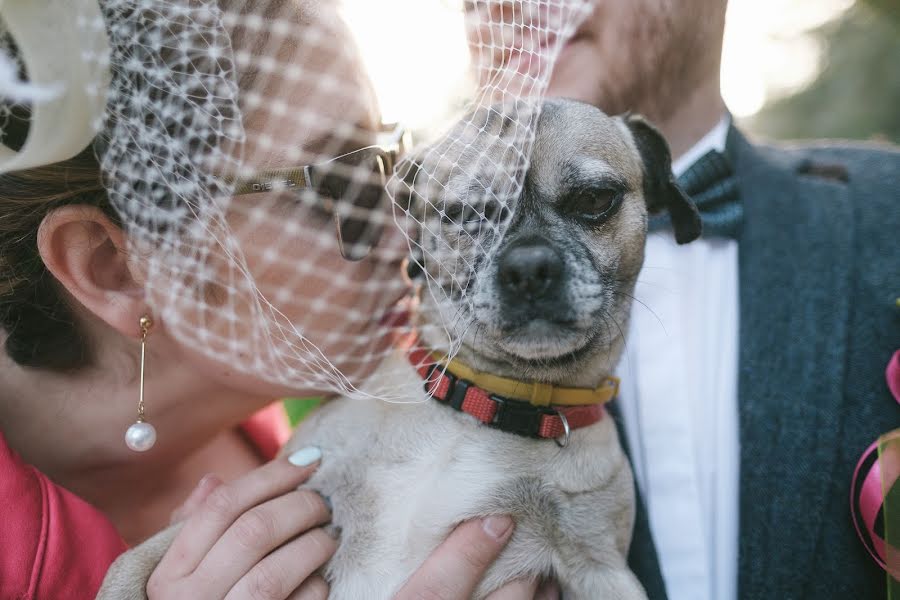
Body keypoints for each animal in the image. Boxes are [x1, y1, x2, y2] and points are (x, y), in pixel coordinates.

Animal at [100, 99, 704, 600]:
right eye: (463, 215)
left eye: (595, 201)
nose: (529, 267)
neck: (481, 405)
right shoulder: (288, 484)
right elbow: (127, 568)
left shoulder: (599, 569)